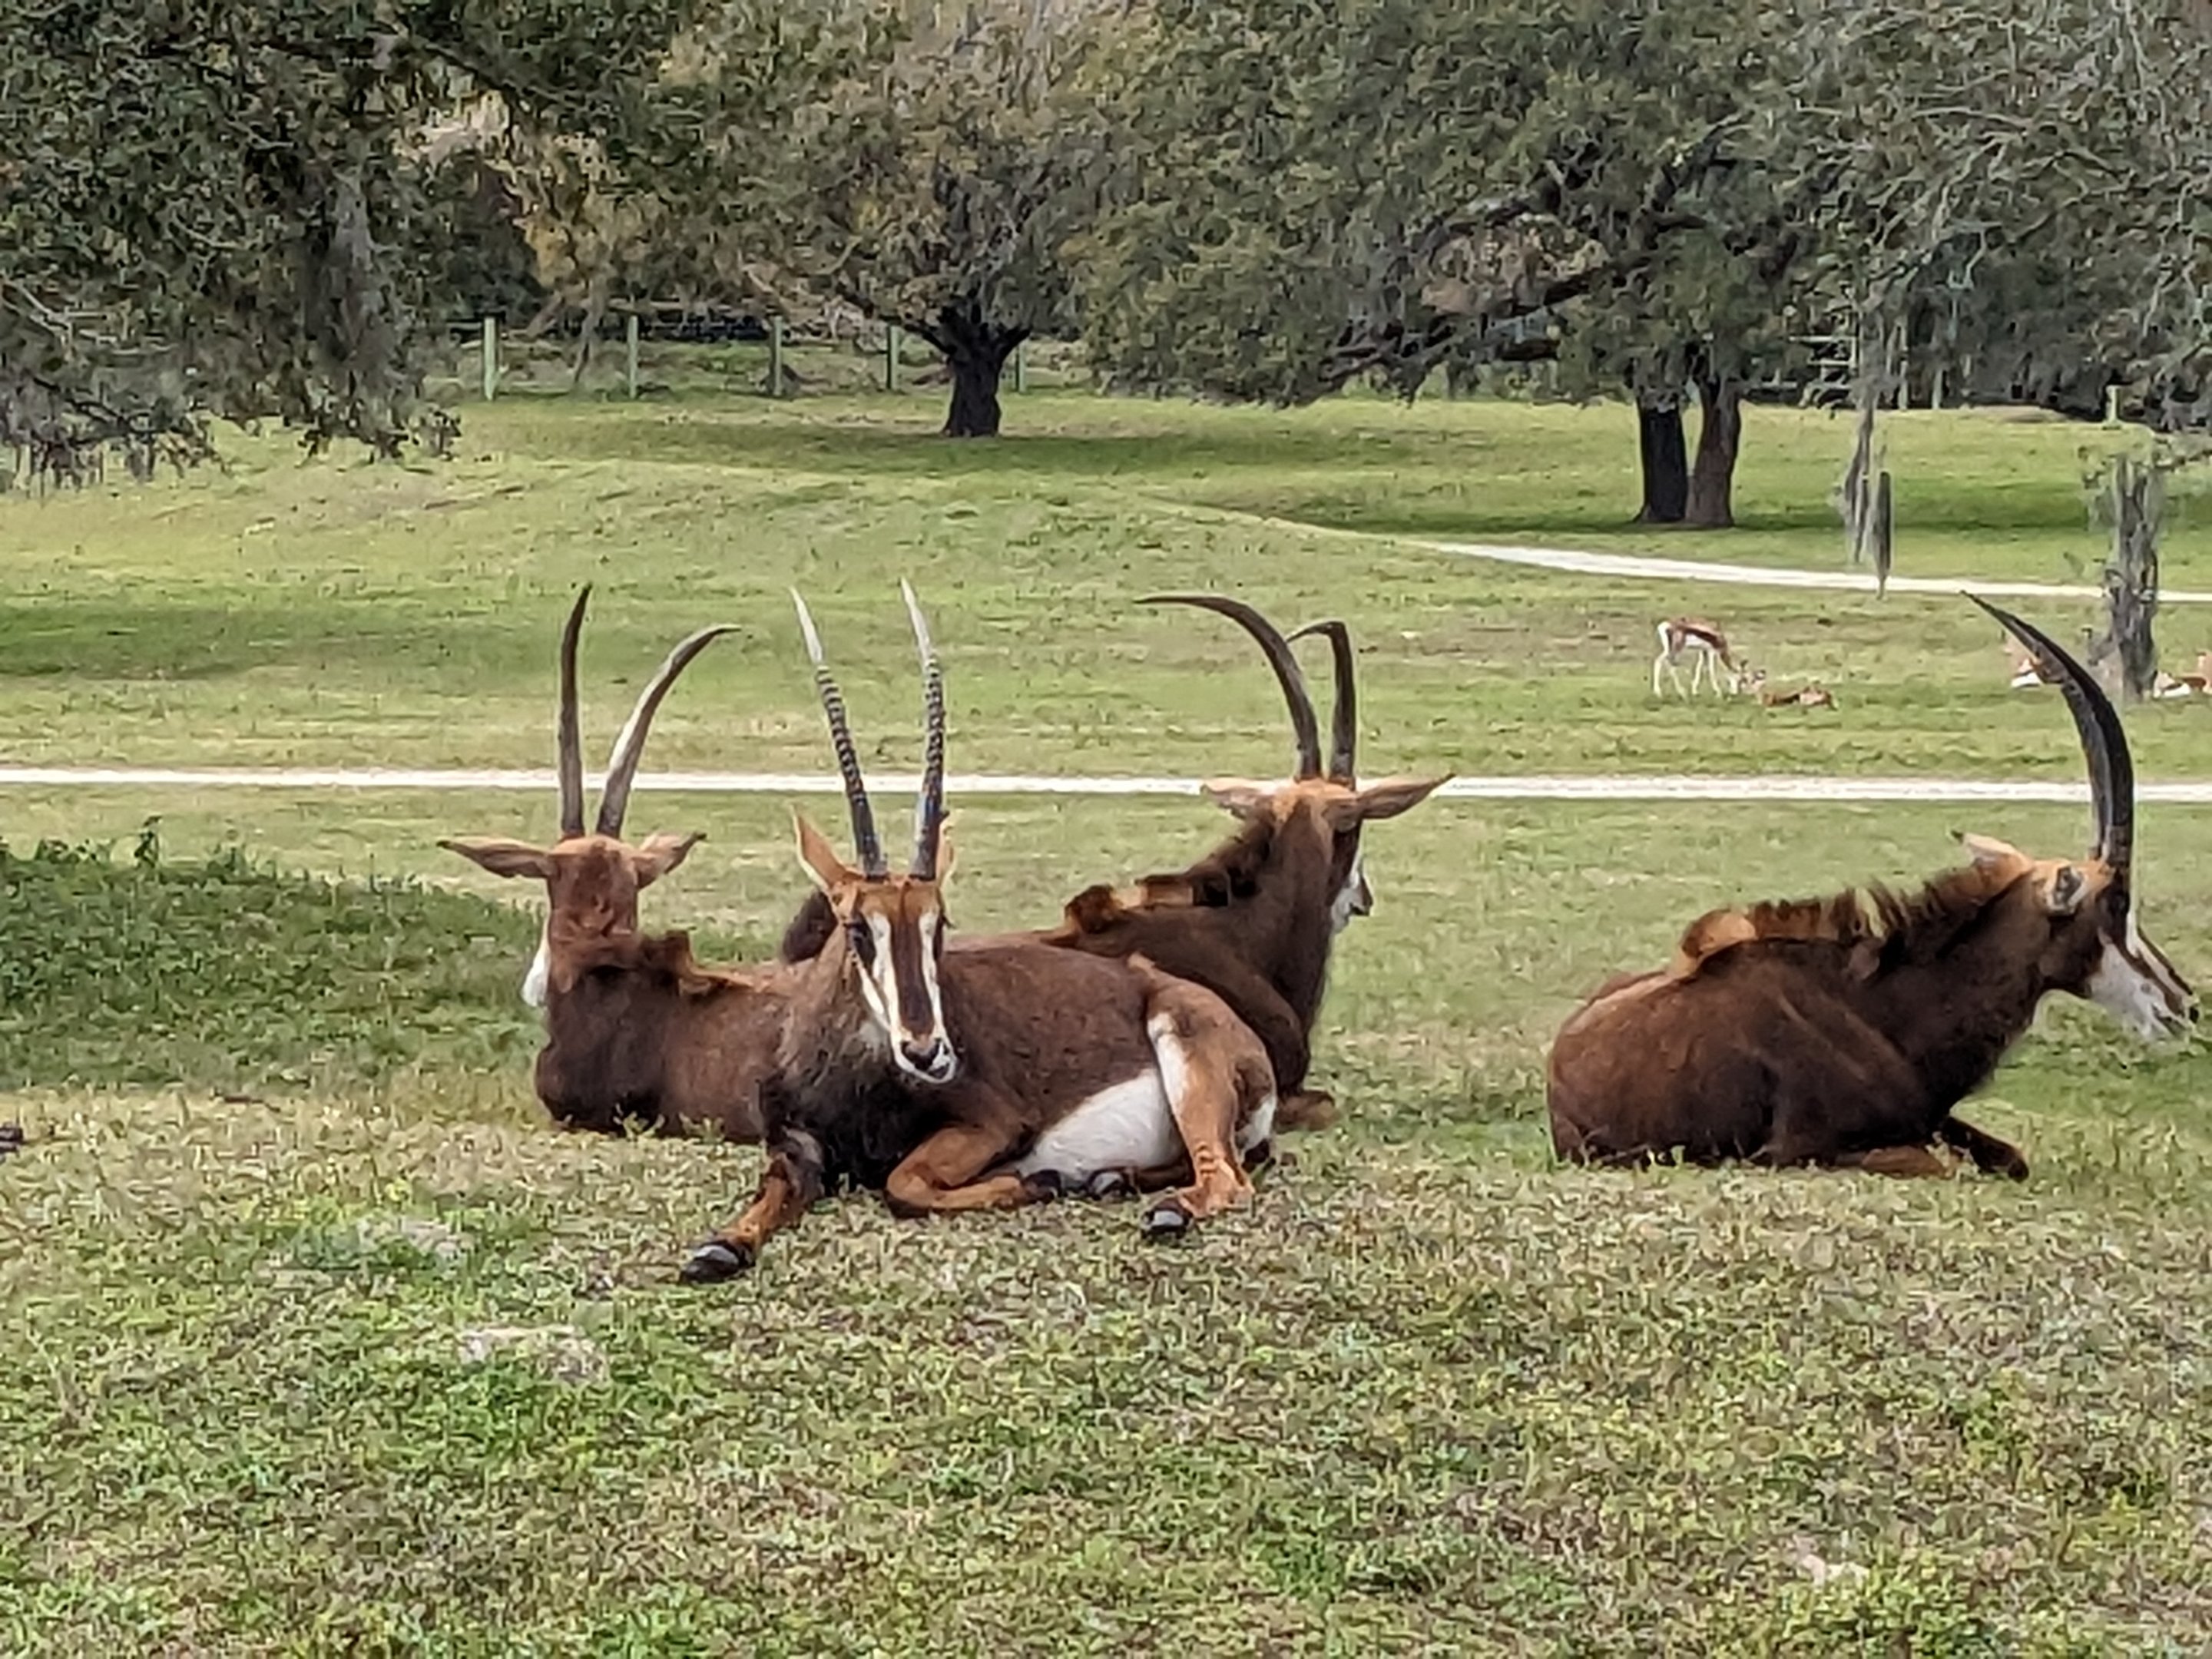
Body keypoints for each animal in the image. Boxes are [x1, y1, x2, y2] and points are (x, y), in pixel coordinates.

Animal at [681, 585, 1279, 1280]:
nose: (928, 1054)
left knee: (1228, 1179)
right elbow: (775, 1189)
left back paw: (1158, 1209)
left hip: (1183, 1054)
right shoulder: (795, 1143)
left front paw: (1035, 1181)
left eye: (939, 922)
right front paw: (721, 1245)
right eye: (856, 925)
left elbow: (903, 1185)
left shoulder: (990, 1125)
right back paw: (1111, 1179)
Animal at [1549, 596, 2194, 1179]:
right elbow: (1948, 1168)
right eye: (2115, 903)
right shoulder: (1798, 1151)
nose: (2183, 1003)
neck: (1886, 1006)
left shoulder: (1934, 1120)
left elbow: (2013, 1159)